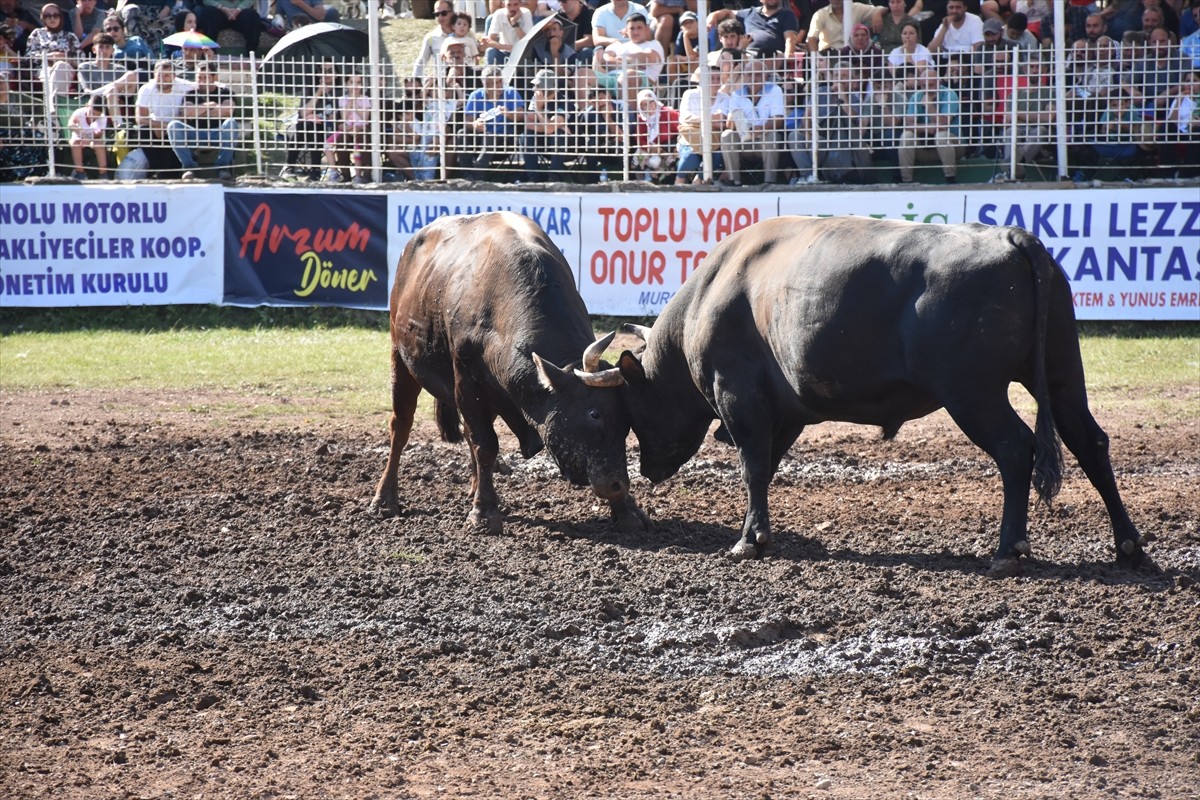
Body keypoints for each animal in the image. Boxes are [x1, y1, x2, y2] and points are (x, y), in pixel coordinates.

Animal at [604, 215, 1147, 573]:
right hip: (1060, 376)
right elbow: (767, 467)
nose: (647, 469)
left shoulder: (739, 396)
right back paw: (1129, 546)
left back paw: (1008, 549)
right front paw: (756, 533)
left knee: (1016, 449)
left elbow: (752, 467)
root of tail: (1012, 235)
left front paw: (748, 540)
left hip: (973, 394)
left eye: (632, 410)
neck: (714, 290)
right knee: (1091, 442)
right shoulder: (787, 411)